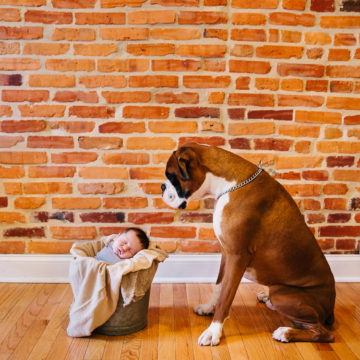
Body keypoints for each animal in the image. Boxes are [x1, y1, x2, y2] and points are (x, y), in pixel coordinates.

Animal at [162, 143, 336, 346]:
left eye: (171, 176)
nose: (162, 186)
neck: (228, 185)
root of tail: (331, 306)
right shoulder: (226, 253)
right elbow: (219, 286)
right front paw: (208, 308)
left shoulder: (237, 256)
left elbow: (225, 297)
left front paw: (213, 332)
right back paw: (266, 299)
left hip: (283, 294)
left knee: (324, 333)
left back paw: (286, 333)